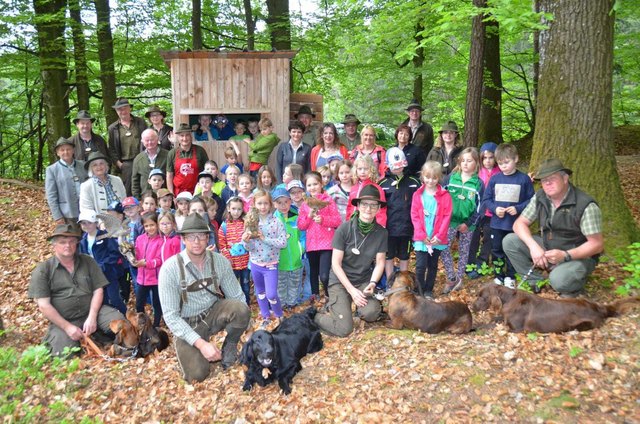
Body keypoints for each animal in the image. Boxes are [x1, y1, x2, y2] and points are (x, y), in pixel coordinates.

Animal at [470, 284, 640, 332]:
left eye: (482, 297)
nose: (471, 307)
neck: (509, 299)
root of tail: (599, 307)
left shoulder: (516, 329)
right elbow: (496, 318)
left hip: (582, 325)